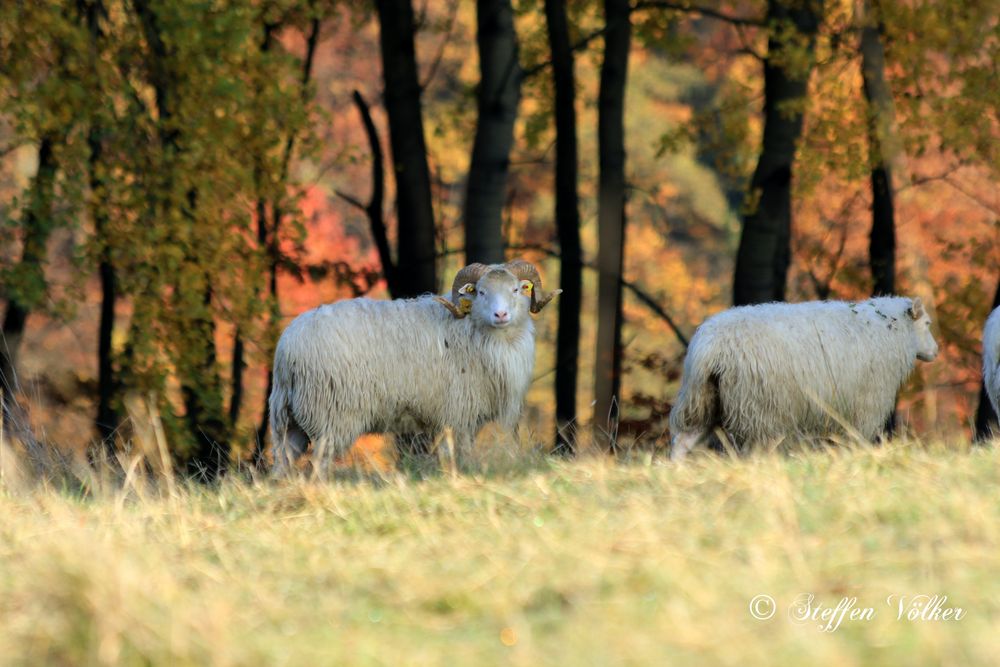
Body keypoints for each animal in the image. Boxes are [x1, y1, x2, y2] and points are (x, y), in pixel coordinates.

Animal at [270, 260, 560, 474]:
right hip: (330, 416)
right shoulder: (459, 415)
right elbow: (462, 456)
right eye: (481, 292)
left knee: (283, 461)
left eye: (516, 290)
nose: (501, 315)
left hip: (288, 420)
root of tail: (288, 348)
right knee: (318, 463)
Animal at [672, 298, 936, 460]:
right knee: (754, 451)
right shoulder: (866, 407)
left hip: (704, 398)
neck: (888, 329)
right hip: (758, 407)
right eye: (927, 323)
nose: (936, 351)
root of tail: (710, 347)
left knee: (684, 442)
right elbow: (858, 440)